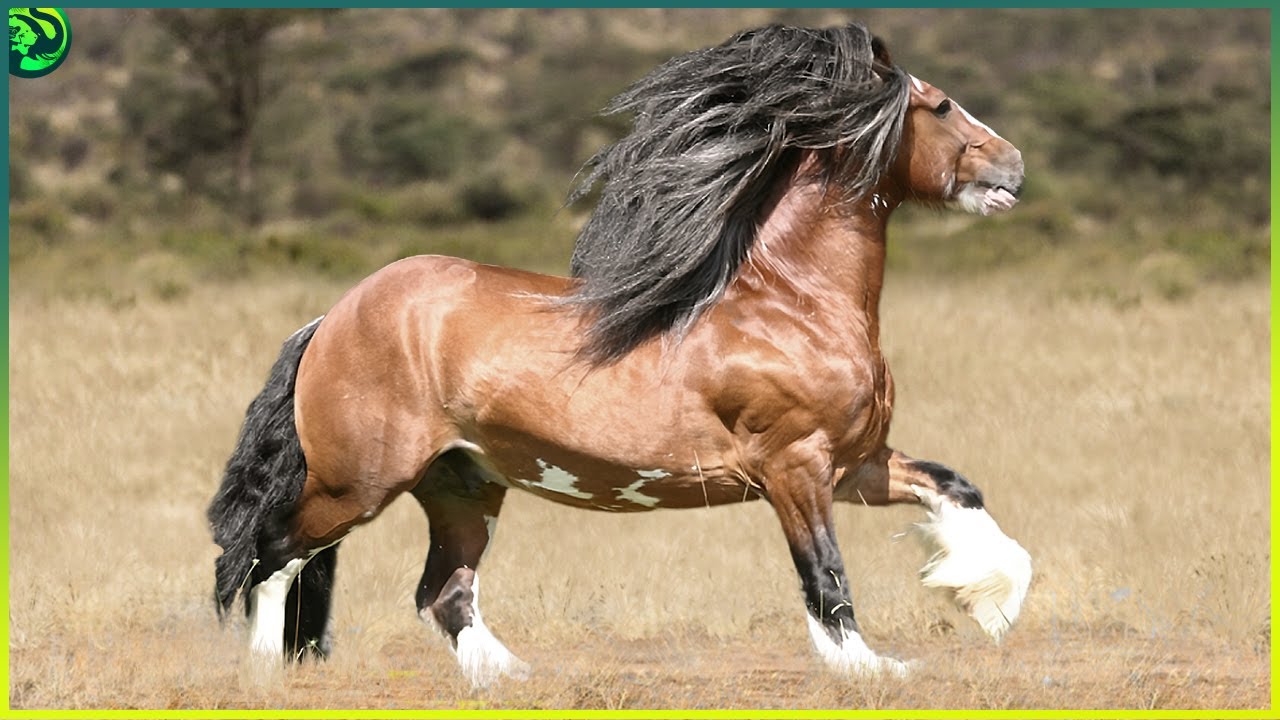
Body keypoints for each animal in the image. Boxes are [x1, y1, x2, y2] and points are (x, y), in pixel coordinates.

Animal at [208, 22, 1031, 686]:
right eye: (941, 106)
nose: (1014, 166)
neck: (792, 304)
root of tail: (331, 319)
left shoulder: (854, 465)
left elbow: (955, 488)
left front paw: (990, 600)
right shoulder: (795, 467)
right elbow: (825, 575)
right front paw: (873, 668)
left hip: (462, 484)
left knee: (442, 592)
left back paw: (515, 678)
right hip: (358, 482)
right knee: (271, 556)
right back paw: (263, 673)